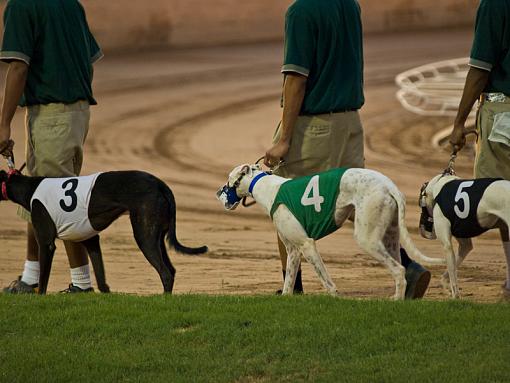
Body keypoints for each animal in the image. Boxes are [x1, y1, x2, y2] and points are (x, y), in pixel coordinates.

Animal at [0, 170, 207, 296]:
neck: (28, 188)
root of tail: (160, 183)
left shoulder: (46, 243)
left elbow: (43, 279)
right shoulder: (91, 240)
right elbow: (101, 279)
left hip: (144, 236)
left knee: (165, 273)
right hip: (156, 237)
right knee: (171, 269)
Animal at [217, 164, 444, 300]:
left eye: (228, 181)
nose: (217, 193)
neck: (265, 187)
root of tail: (389, 185)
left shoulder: (307, 244)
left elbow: (325, 279)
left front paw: (335, 296)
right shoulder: (293, 250)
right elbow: (289, 281)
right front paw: (286, 297)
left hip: (367, 238)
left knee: (398, 269)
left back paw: (396, 299)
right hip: (390, 238)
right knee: (400, 265)